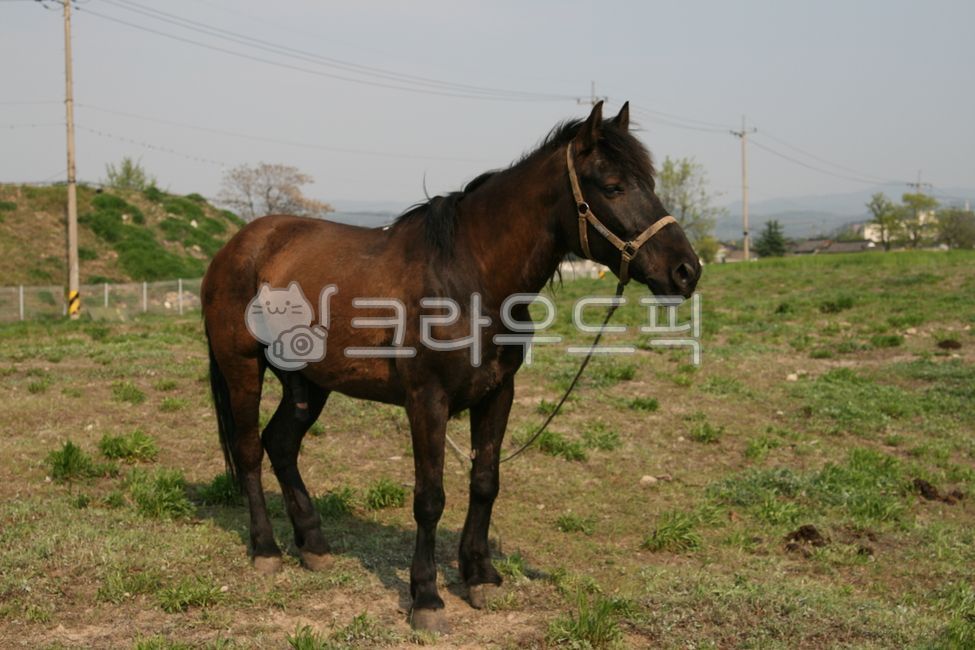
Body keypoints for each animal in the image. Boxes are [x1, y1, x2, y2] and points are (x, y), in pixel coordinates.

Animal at [201, 101, 701, 632]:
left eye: (649, 181)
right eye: (612, 186)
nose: (686, 271)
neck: (469, 278)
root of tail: (238, 245)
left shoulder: (499, 393)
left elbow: (485, 483)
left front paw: (479, 574)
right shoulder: (427, 401)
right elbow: (430, 498)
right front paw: (426, 597)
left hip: (309, 381)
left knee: (281, 443)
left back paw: (313, 545)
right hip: (241, 365)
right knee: (250, 449)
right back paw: (266, 550)